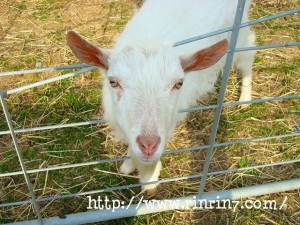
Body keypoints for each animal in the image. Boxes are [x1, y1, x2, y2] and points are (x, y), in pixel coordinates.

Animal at [67, 0, 254, 193]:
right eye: (113, 82)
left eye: (179, 83)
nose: (148, 145)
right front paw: (128, 165)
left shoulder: (170, 120)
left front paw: (150, 179)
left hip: (241, 36)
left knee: (248, 56)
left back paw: (245, 98)